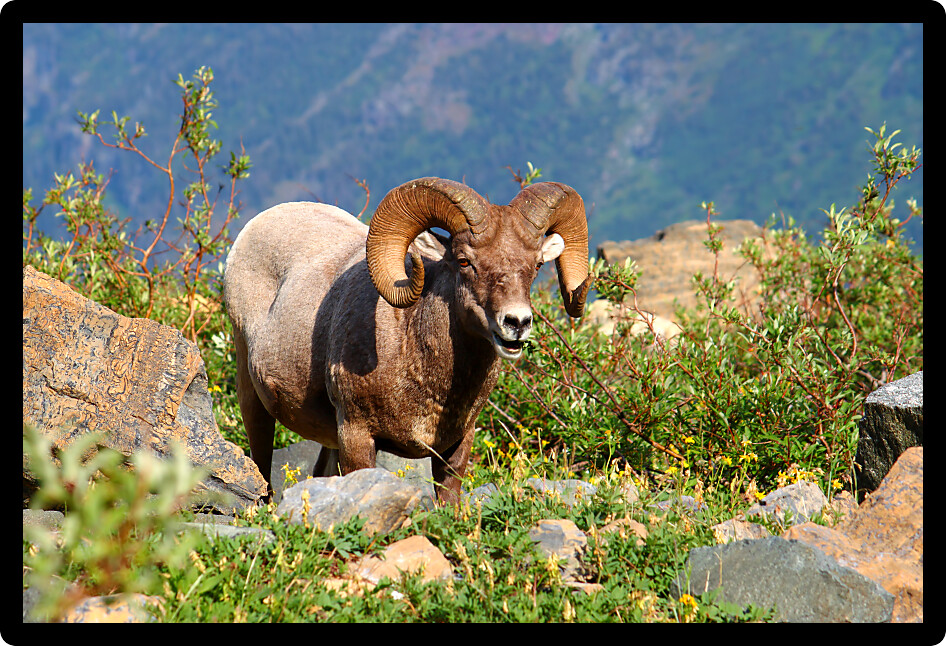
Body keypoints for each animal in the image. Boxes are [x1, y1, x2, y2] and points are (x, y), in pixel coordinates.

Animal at [223, 177, 592, 504]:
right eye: (464, 260)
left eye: (537, 264)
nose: (517, 322)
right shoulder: (356, 435)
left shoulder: (456, 446)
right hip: (252, 395)